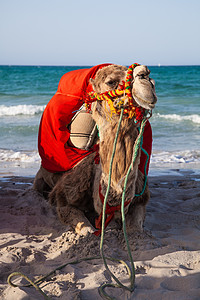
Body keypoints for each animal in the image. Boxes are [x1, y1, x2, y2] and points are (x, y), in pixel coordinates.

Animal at [34, 63, 156, 237]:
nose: (145, 75)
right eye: (111, 82)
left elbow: (135, 230)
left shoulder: (141, 198)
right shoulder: (63, 197)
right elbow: (87, 230)